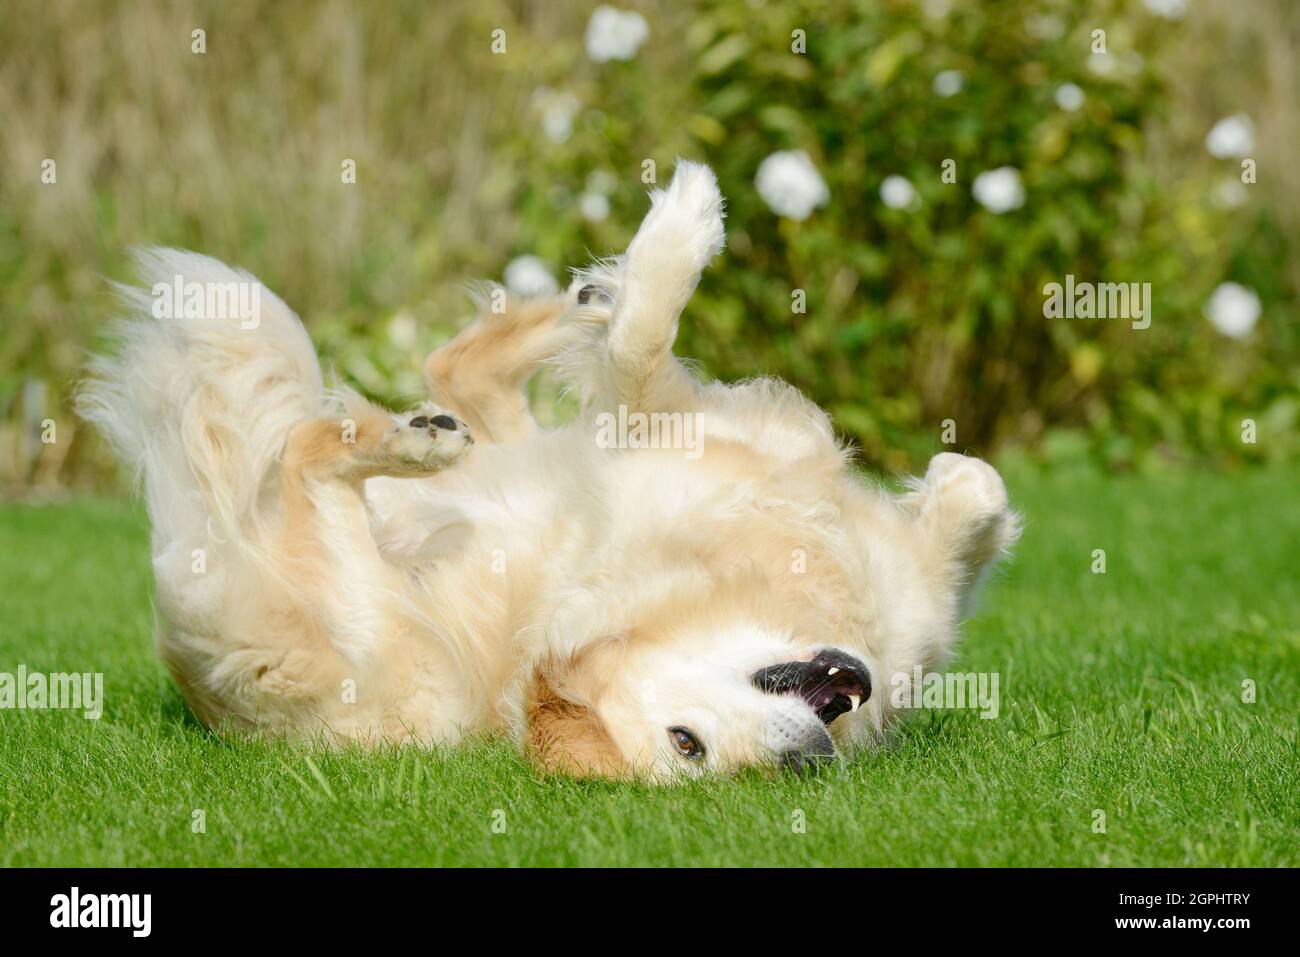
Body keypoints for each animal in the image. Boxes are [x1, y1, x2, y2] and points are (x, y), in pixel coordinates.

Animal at [81, 160, 1019, 780]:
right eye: (689, 746)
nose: (804, 760)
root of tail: (204, 682)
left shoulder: (910, 606)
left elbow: (982, 488)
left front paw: (956, 486)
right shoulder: (649, 422)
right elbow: (642, 344)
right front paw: (686, 221)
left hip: (494, 458)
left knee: (456, 368)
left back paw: (566, 313)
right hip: (392, 651)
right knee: (309, 455)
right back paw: (417, 439)